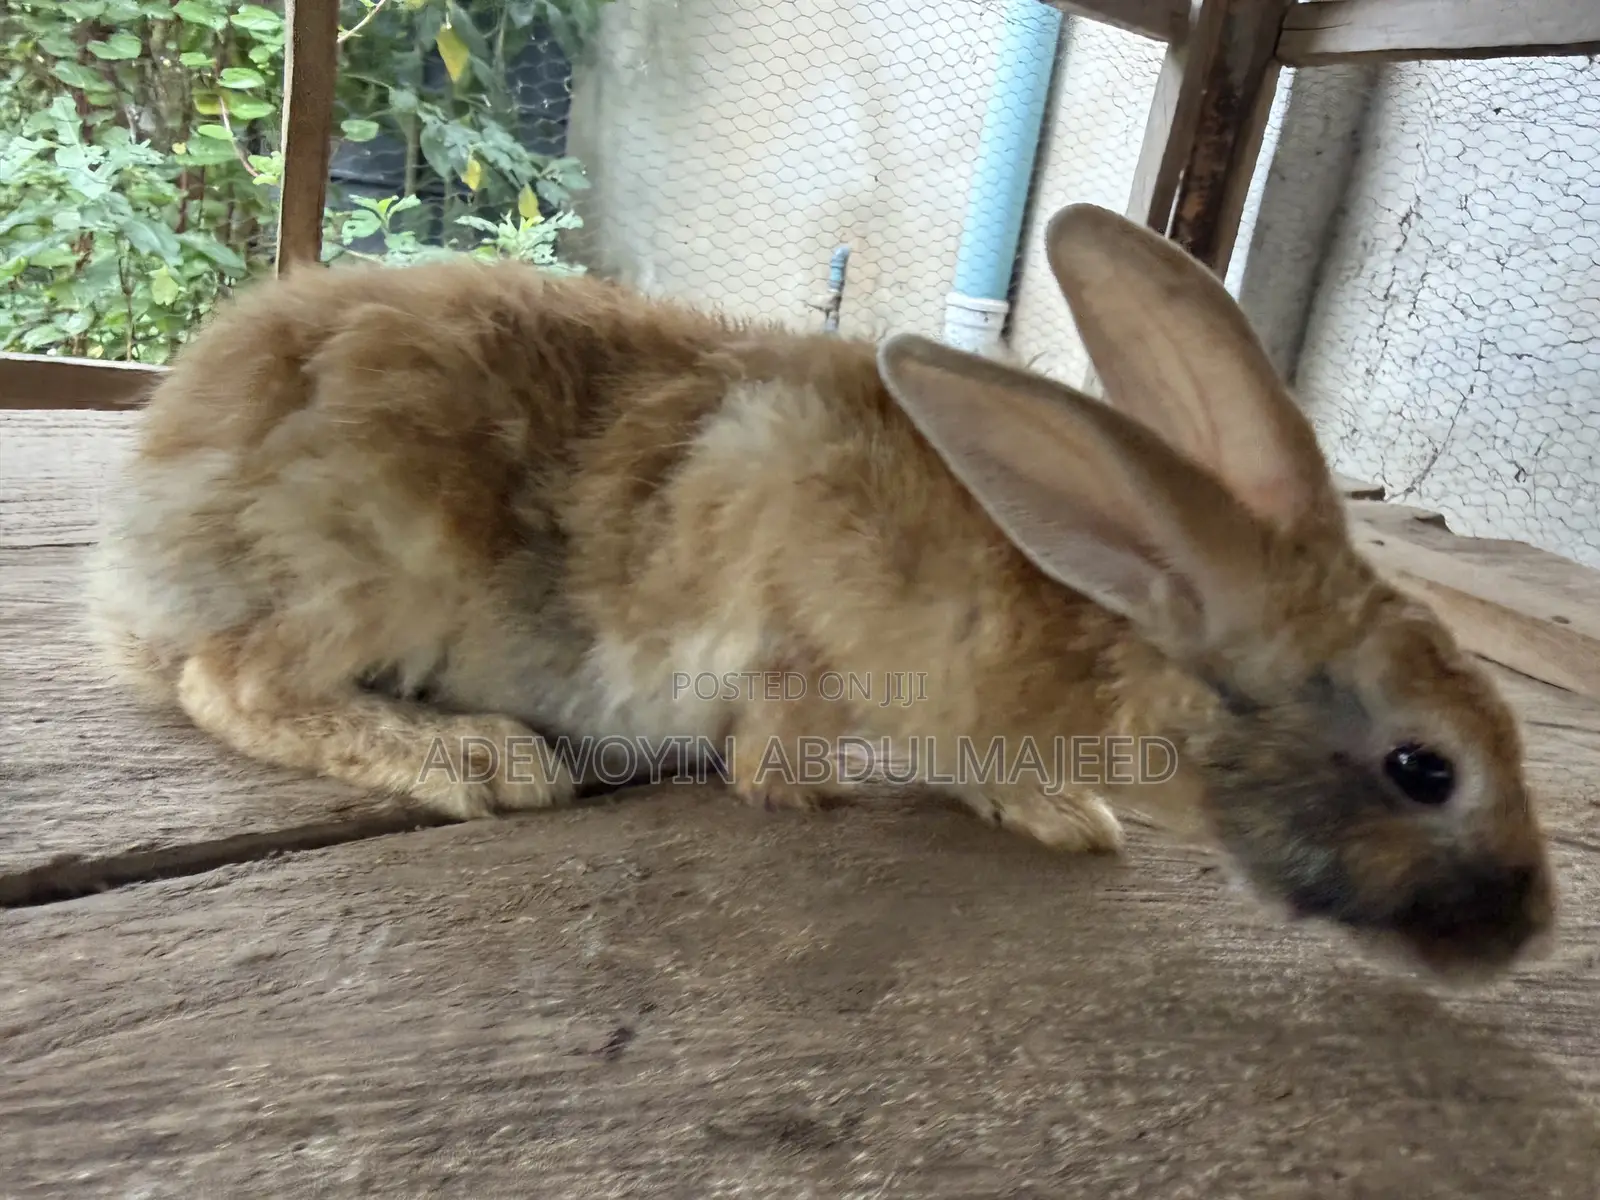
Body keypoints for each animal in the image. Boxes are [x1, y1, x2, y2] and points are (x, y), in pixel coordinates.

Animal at [83, 201, 1554, 979]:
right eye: (1425, 768)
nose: (1529, 937)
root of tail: (152, 508)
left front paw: (1058, 815)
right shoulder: (799, 623)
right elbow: (777, 748)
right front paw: (815, 791)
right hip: (379, 566)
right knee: (232, 679)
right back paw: (476, 762)